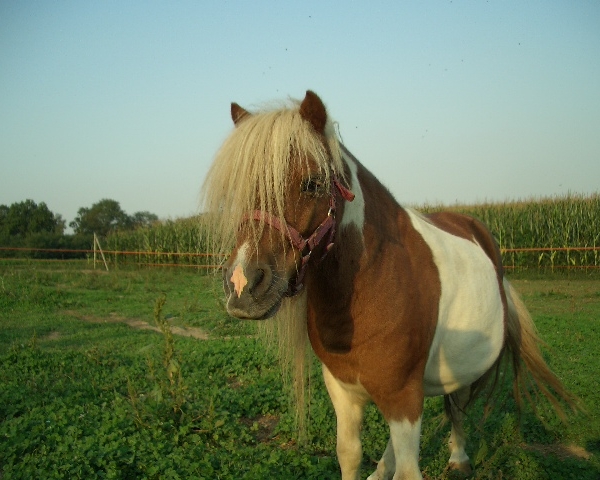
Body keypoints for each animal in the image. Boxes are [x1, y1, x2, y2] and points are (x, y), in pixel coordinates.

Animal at [202, 91, 576, 480]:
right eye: (234, 193)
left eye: (312, 183)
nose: (243, 285)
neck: (376, 284)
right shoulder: (345, 392)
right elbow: (349, 455)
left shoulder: (403, 396)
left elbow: (410, 468)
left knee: (456, 403)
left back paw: (458, 458)